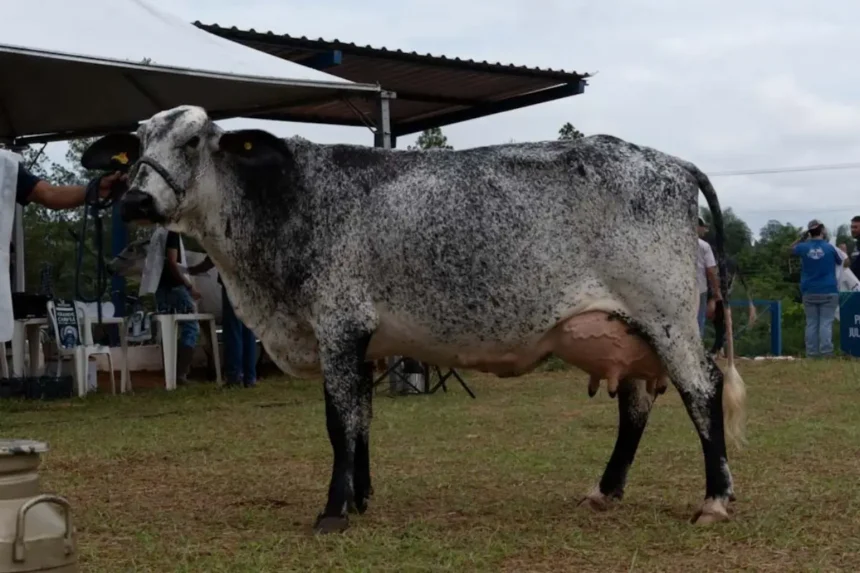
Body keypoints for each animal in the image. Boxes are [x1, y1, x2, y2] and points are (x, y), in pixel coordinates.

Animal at [90, 104, 747, 535]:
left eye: (194, 141)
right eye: (139, 143)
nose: (135, 199)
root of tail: (673, 164)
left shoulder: (338, 326)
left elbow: (338, 423)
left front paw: (333, 512)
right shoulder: (363, 343)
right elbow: (360, 421)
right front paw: (360, 497)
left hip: (666, 317)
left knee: (701, 390)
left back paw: (715, 499)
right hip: (627, 329)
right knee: (636, 405)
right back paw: (605, 492)